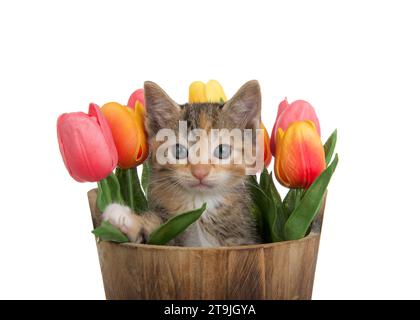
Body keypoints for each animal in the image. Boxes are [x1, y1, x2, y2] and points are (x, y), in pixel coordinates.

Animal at [103, 80, 262, 248]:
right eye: (179, 150)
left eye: (222, 151)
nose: (200, 172)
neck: (200, 204)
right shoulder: (172, 230)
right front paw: (128, 219)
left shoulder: (243, 237)